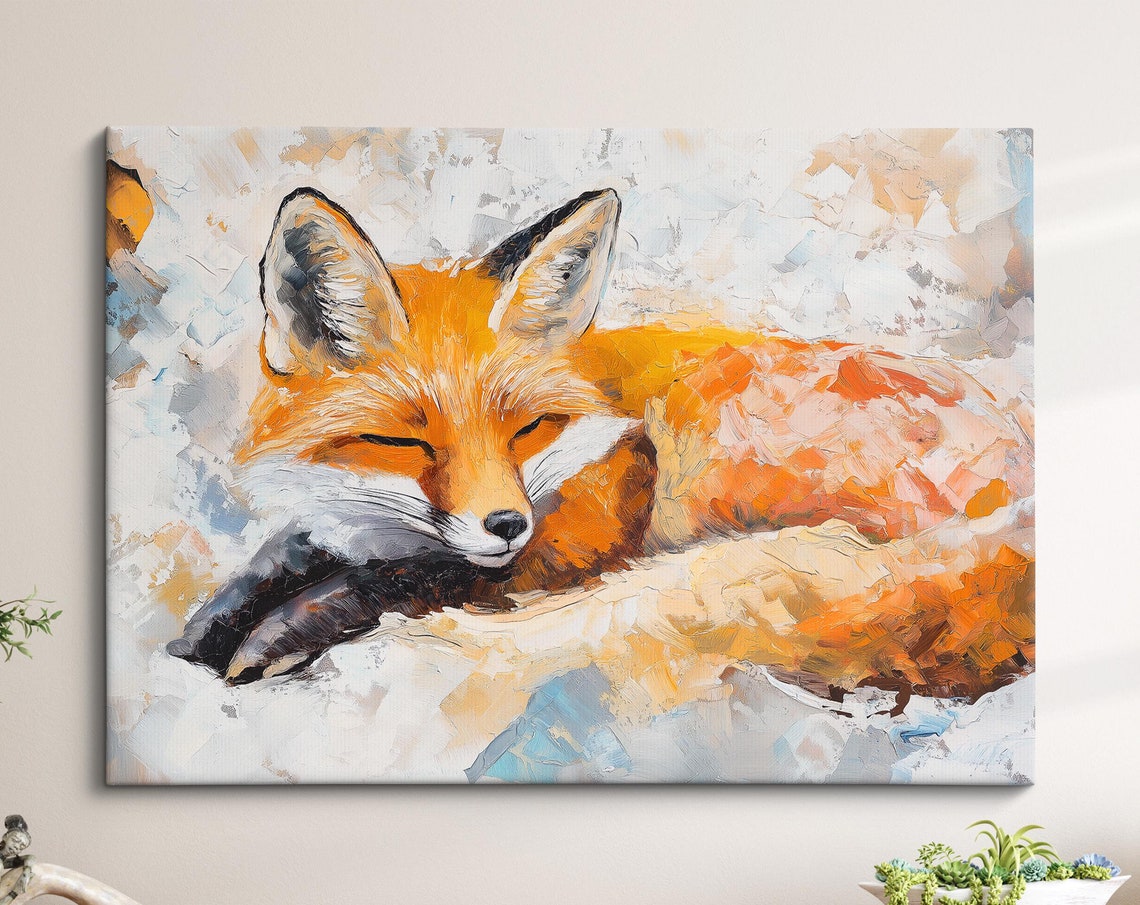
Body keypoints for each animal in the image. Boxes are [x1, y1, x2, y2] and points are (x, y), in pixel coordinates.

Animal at [167, 186, 1033, 686]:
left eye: (526, 427)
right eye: (409, 444)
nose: (505, 522)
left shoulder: (582, 535)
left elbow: (409, 579)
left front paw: (281, 629)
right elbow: (279, 559)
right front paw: (214, 624)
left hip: (699, 427)